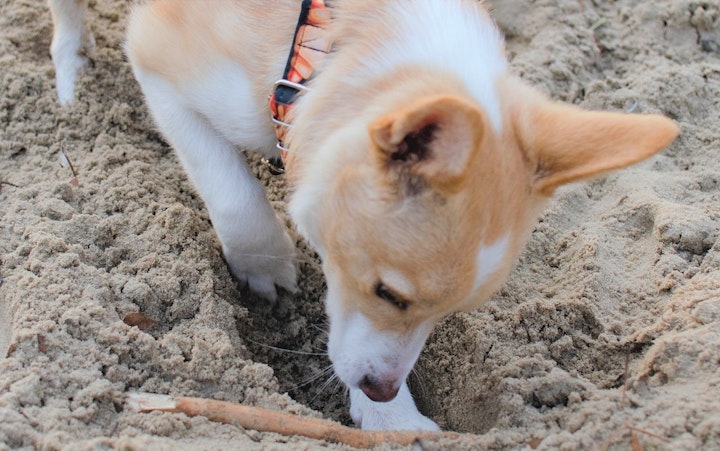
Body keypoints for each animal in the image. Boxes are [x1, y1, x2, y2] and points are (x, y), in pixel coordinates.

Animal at [47, 0, 676, 432]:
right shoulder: (158, 64)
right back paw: (71, 78)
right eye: (388, 293)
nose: (379, 391)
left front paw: (392, 422)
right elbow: (233, 193)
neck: (320, 51)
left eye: (452, 312)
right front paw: (264, 269)